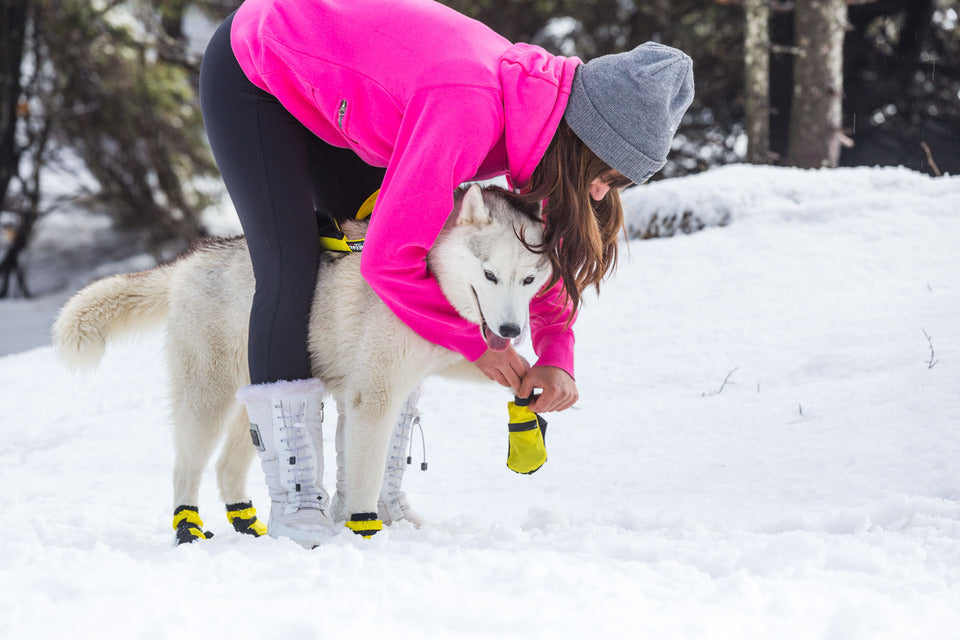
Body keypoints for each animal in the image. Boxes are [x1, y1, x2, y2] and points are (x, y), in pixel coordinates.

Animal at [52, 185, 552, 540]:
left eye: (529, 279)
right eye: (490, 275)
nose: (511, 330)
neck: (421, 279)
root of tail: (192, 259)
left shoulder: (421, 371)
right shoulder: (374, 395)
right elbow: (365, 476)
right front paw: (365, 533)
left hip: (254, 398)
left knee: (228, 468)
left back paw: (248, 524)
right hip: (206, 403)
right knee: (185, 470)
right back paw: (188, 529)